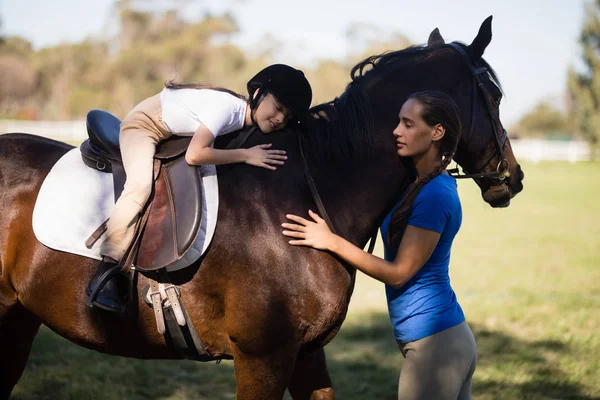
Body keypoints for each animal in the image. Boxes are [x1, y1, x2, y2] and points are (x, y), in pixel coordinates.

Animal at [0, 18, 524, 400]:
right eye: (495, 96)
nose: (512, 179)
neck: (311, 188)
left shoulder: (306, 352)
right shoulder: (263, 357)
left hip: (19, 321)